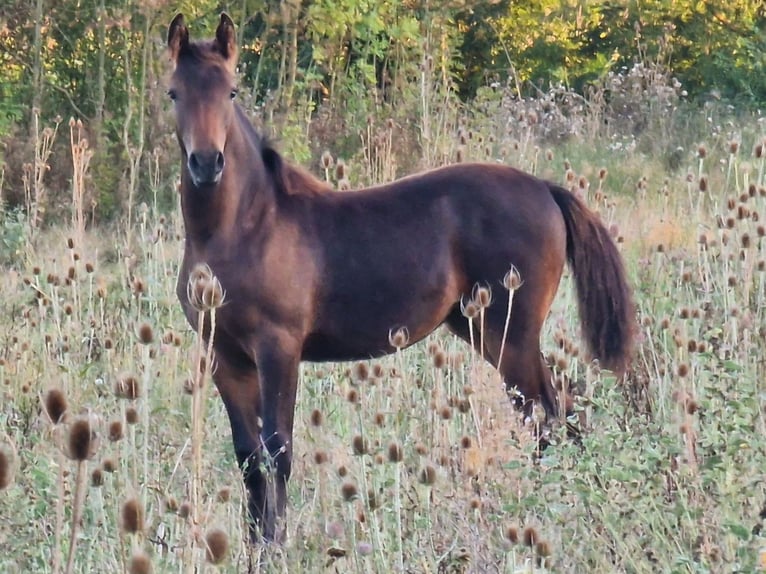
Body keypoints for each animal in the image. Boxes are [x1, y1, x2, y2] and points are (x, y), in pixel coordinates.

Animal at [166, 13, 636, 544]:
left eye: (231, 91)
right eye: (174, 93)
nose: (207, 163)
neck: (247, 225)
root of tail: (545, 188)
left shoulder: (278, 347)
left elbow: (279, 450)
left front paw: (278, 545)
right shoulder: (224, 355)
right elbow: (249, 457)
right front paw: (252, 547)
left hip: (510, 334)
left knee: (547, 413)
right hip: (480, 329)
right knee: (562, 410)